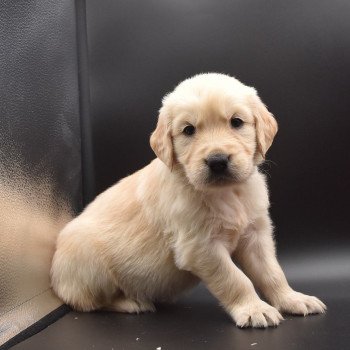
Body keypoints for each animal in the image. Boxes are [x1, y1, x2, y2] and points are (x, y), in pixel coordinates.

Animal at [50, 72, 326, 326]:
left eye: (236, 122)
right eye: (188, 130)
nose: (217, 161)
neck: (226, 194)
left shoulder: (255, 235)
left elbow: (272, 272)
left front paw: (292, 299)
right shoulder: (200, 247)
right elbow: (236, 279)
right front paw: (254, 309)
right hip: (88, 259)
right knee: (85, 302)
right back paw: (131, 302)